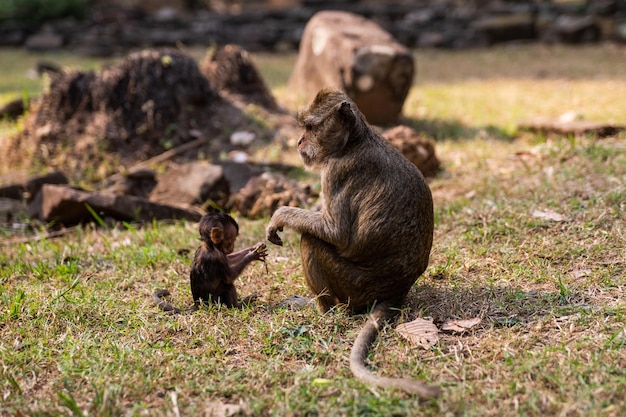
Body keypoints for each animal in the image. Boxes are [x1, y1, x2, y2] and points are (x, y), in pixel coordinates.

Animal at [266, 88, 436, 396]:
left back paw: (325, 312)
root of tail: (397, 291)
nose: (298, 141)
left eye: (310, 127)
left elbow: (337, 233)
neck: (352, 142)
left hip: (354, 286)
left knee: (311, 240)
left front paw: (280, 214)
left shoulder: (336, 171)